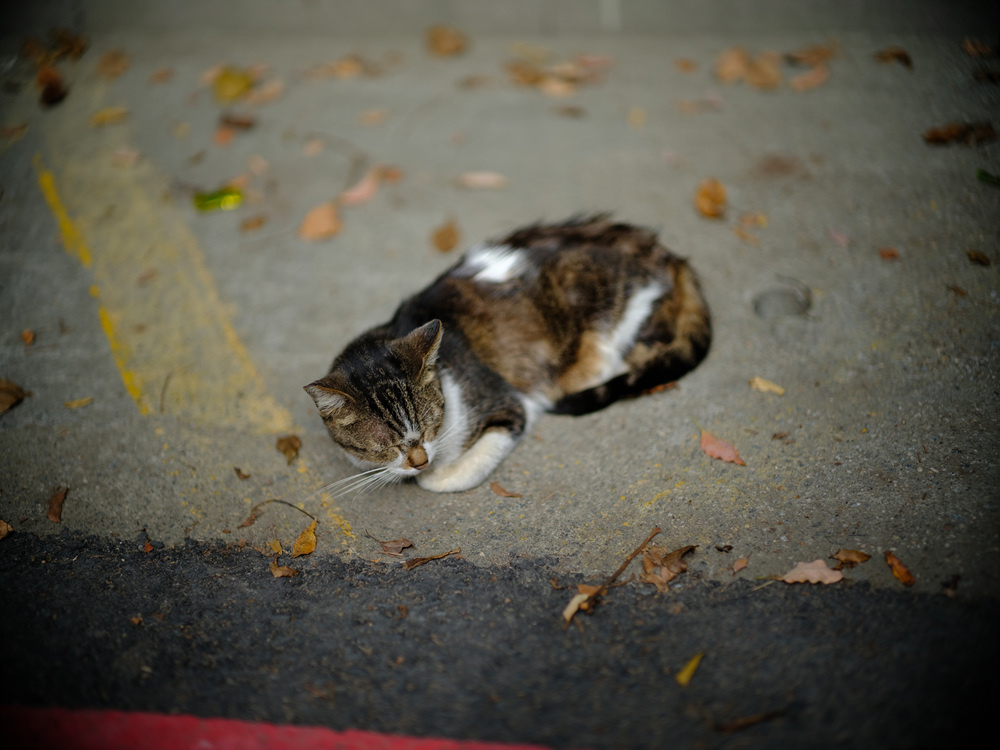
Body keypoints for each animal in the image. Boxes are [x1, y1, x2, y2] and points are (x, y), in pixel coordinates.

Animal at [304, 214, 712, 494]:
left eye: (431, 423)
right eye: (385, 444)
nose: (421, 461)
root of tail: (666, 254)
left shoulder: (506, 404)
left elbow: (462, 469)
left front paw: (436, 475)